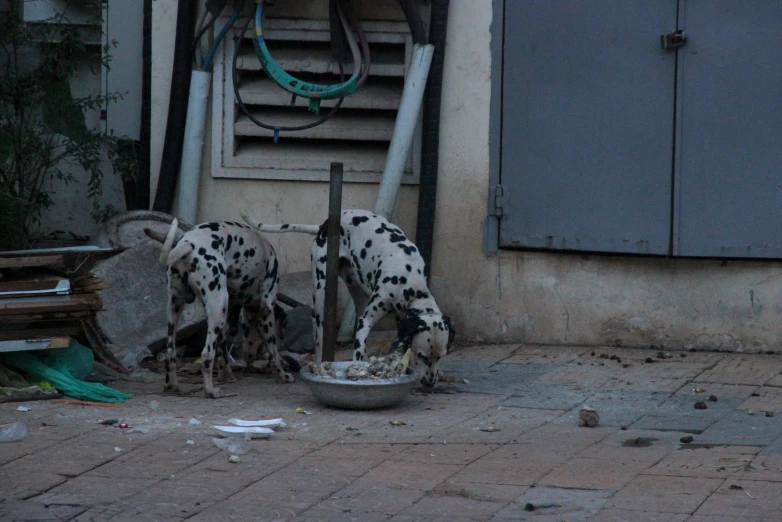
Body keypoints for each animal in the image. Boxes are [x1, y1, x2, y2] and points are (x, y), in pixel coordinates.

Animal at [159, 217, 294, 396]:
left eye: (246, 327)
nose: (249, 356)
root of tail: (188, 244)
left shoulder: (226, 316)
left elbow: (222, 351)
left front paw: (226, 375)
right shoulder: (266, 311)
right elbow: (274, 351)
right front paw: (283, 375)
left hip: (177, 308)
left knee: (170, 351)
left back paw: (171, 385)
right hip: (218, 307)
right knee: (207, 354)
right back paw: (211, 392)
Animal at [242, 208, 456, 386]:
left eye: (441, 356)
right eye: (422, 356)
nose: (429, 383)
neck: (409, 279)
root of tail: (325, 224)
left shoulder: (400, 318)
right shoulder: (367, 320)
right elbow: (359, 354)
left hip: (356, 289)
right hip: (322, 294)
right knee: (318, 335)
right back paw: (318, 365)